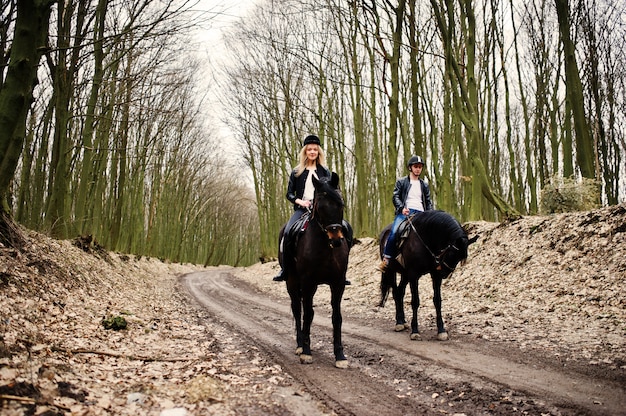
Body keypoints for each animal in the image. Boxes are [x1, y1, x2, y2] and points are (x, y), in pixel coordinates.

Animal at [276, 171, 348, 368]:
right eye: (320, 206)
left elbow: (337, 317)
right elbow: (306, 314)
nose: (336, 239)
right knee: (297, 309)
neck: (325, 246)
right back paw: (300, 345)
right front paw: (306, 352)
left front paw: (340, 355)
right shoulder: (307, 281)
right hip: (292, 282)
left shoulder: (338, 283)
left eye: (341, 204)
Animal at [376, 211, 478, 342]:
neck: (426, 238)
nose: (445, 273)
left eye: (461, 258)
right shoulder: (414, 275)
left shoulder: (435, 275)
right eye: (452, 254)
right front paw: (415, 331)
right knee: (395, 292)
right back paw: (399, 323)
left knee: (400, 292)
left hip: (405, 274)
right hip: (391, 271)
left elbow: (437, 301)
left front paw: (441, 331)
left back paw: (403, 321)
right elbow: (415, 301)